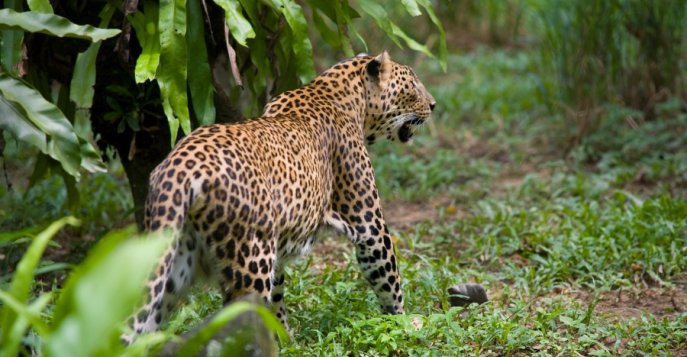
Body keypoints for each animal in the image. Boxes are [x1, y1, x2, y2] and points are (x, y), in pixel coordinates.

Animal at [125, 51, 436, 340]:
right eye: (412, 84)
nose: (433, 105)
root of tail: (179, 165)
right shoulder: (369, 225)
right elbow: (389, 279)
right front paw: (403, 323)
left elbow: (277, 297)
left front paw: (286, 338)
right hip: (251, 259)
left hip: (173, 260)